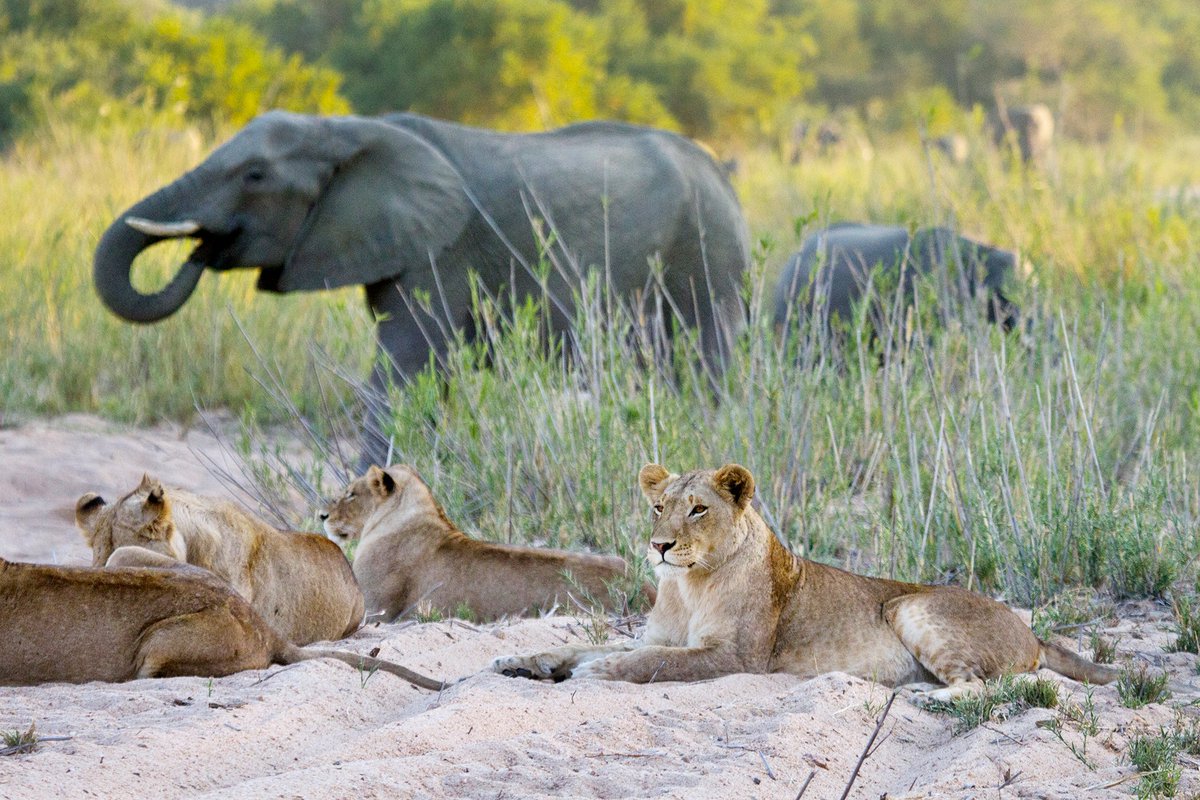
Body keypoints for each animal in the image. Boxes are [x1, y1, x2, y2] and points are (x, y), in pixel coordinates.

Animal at [493, 463, 1116, 701]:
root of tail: (1033, 633)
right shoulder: (662, 635)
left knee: (980, 686)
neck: (687, 586)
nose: (660, 546)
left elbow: (649, 662)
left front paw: (595, 675)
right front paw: (523, 662)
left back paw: (919, 693)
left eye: (698, 510)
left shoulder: (734, 657)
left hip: (909, 608)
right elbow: (584, 645)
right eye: (657, 507)